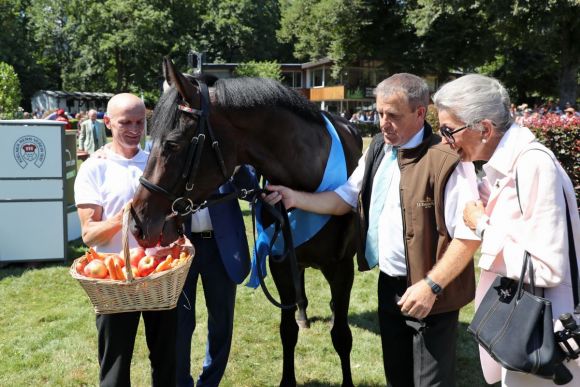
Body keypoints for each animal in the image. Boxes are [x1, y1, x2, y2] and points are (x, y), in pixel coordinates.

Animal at [131, 58, 362, 387]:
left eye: (173, 145)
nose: (138, 222)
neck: (309, 180)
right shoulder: (281, 263)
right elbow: (287, 330)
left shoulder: (342, 269)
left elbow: (341, 335)